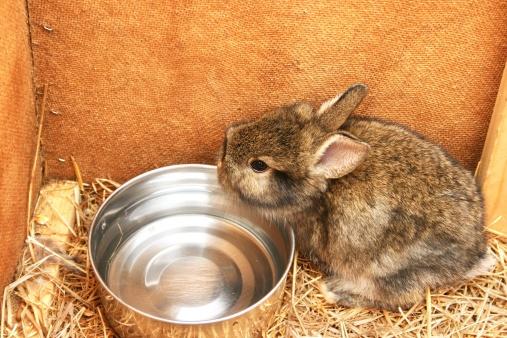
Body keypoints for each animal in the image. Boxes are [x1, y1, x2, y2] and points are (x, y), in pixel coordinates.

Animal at [215, 83, 496, 310]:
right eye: (270, 115)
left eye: (259, 165)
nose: (222, 152)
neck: (322, 190)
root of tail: (473, 256)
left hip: (388, 270)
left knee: (404, 298)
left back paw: (334, 291)